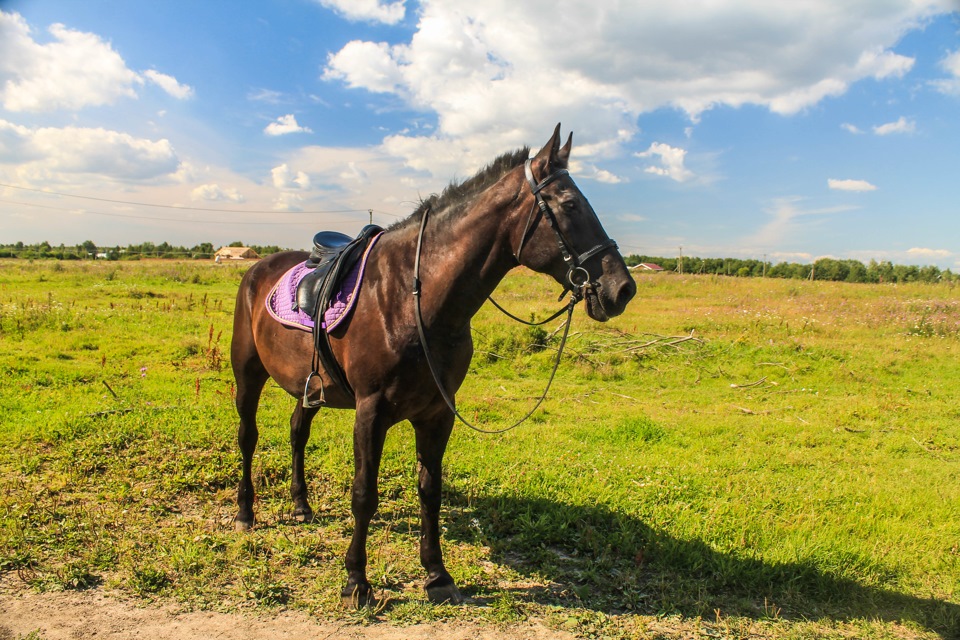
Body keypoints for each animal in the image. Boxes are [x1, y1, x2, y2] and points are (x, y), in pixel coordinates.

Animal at [231, 124, 636, 604]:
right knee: (248, 436)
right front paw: (356, 581)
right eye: (571, 204)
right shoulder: (370, 412)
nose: (622, 288)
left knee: (297, 432)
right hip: (247, 374)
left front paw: (437, 574)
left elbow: (430, 490)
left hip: (309, 387)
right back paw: (245, 511)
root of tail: (258, 268)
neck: (413, 299)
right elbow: (364, 494)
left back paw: (300, 505)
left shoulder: (437, 412)